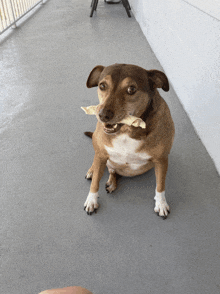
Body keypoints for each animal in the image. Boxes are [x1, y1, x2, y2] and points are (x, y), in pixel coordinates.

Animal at [83, 63, 174, 218]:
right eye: (102, 85)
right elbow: (95, 183)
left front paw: (161, 204)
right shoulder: (101, 154)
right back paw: (93, 171)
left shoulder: (161, 160)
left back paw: (112, 182)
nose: (102, 115)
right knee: (104, 166)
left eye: (131, 89)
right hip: (97, 144)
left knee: (113, 171)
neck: (127, 131)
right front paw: (91, 200)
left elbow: (160, 185)